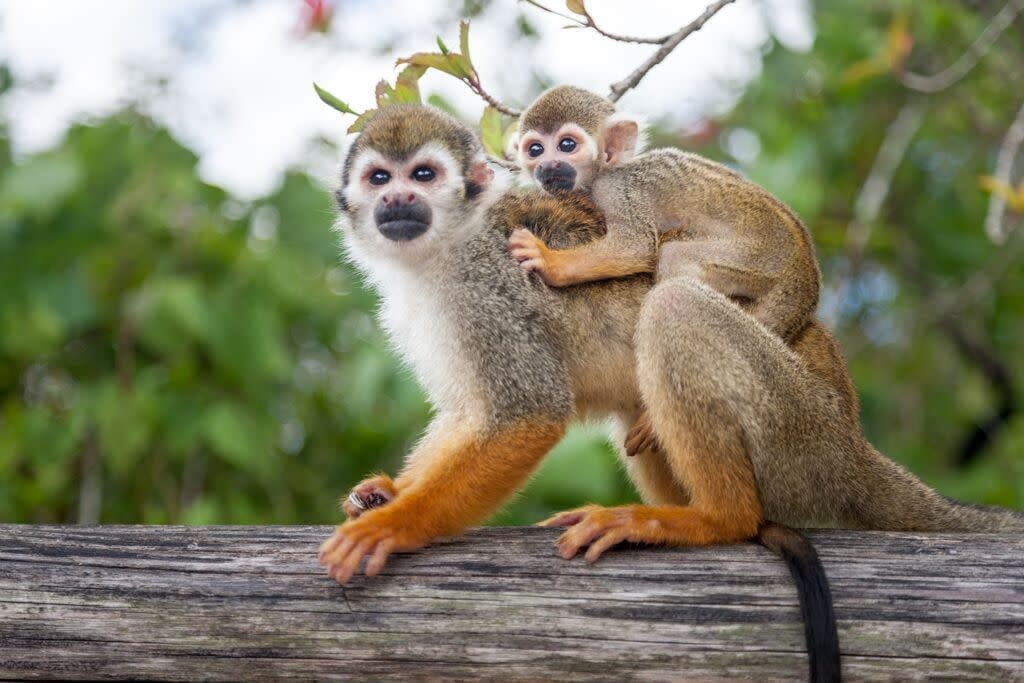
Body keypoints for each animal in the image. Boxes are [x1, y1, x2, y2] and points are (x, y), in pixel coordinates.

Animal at [319, 104, 1023, 682]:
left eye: (424, 175)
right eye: (380, 178)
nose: (398, 201)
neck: (442, 250)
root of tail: (852, 444)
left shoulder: (483, 285)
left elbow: (526, 414)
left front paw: (392, 526)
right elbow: (471, 412)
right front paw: (386, 492)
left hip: (798, 434)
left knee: (676, 306)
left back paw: (712, 519)